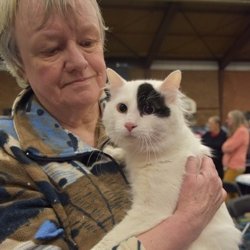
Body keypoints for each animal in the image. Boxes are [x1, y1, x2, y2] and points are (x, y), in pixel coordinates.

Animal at [92, 69, 242, 250]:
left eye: (149, 109)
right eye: (122, 108)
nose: (129, 125)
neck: (141, 153)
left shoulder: (151, 210)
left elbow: (112, 237)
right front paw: (112, 152)